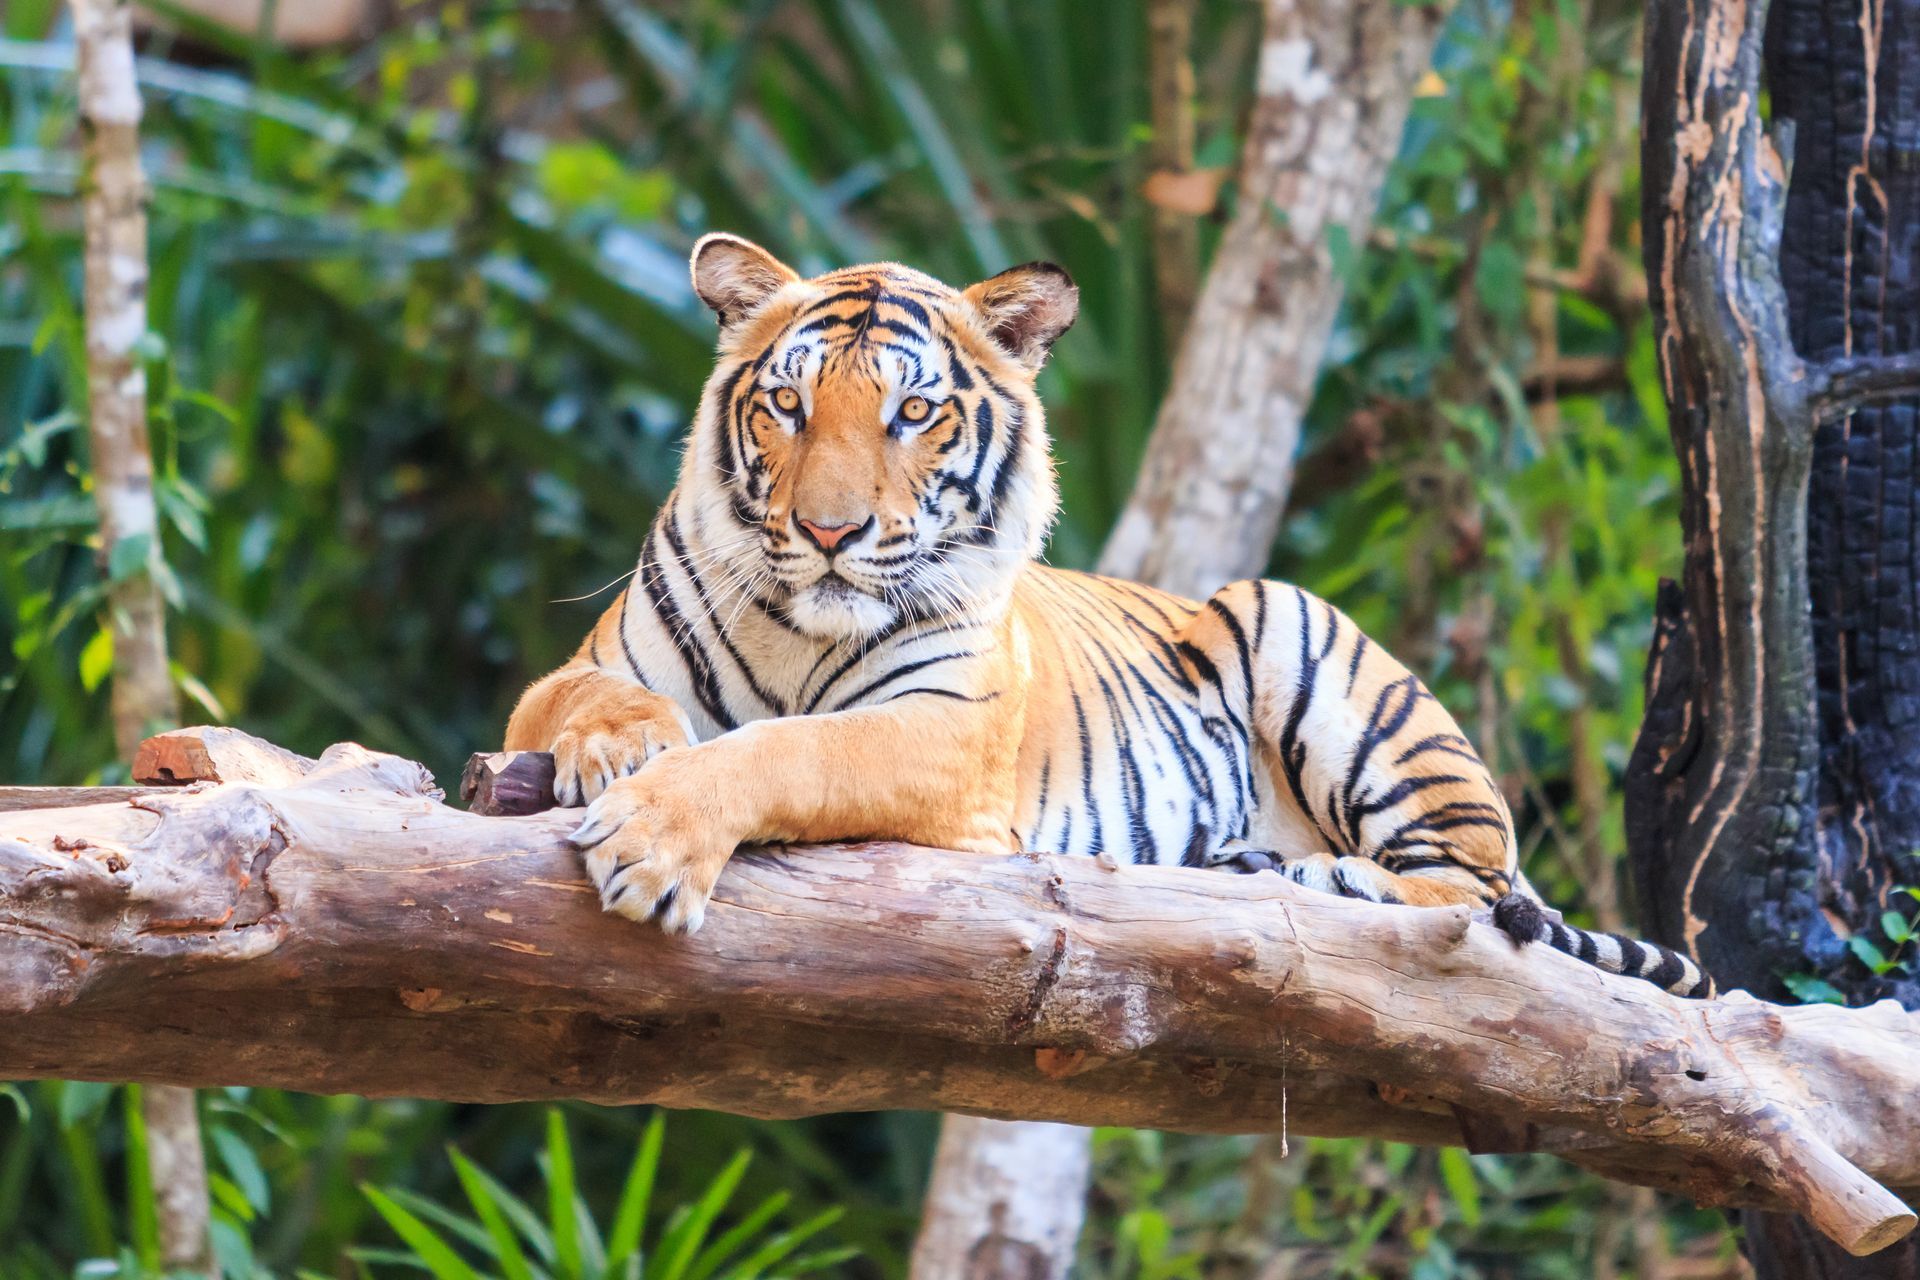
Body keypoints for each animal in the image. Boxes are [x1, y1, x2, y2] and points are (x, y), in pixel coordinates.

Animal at [504, 232, 1713, 1000]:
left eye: (913, 412)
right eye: (788, 406)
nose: (831, 531)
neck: (801, 627)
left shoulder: (947, 735)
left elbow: (794, 747)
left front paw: (655, 840)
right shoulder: (572, 671)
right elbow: (583, 695)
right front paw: (621, 749)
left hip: (1313, 644)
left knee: (1472, 890)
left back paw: (1334, 875)